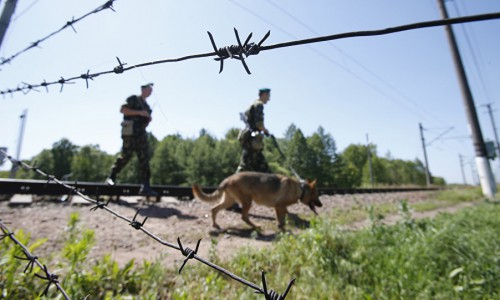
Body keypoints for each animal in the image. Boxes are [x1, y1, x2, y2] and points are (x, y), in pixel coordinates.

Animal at [189, 171, 322, 230]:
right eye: (317, 195)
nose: (321, 205)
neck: (301, 189)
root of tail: (228, 179)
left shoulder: (281, 207)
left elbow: (285, 214)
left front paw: (287, 222)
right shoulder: (278, 206)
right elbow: (281, 217)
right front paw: (281, 226)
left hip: (229, 201)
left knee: (214, 209)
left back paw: (215, 225)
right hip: (247, 201)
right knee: (244, 217)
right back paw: (255, 226)